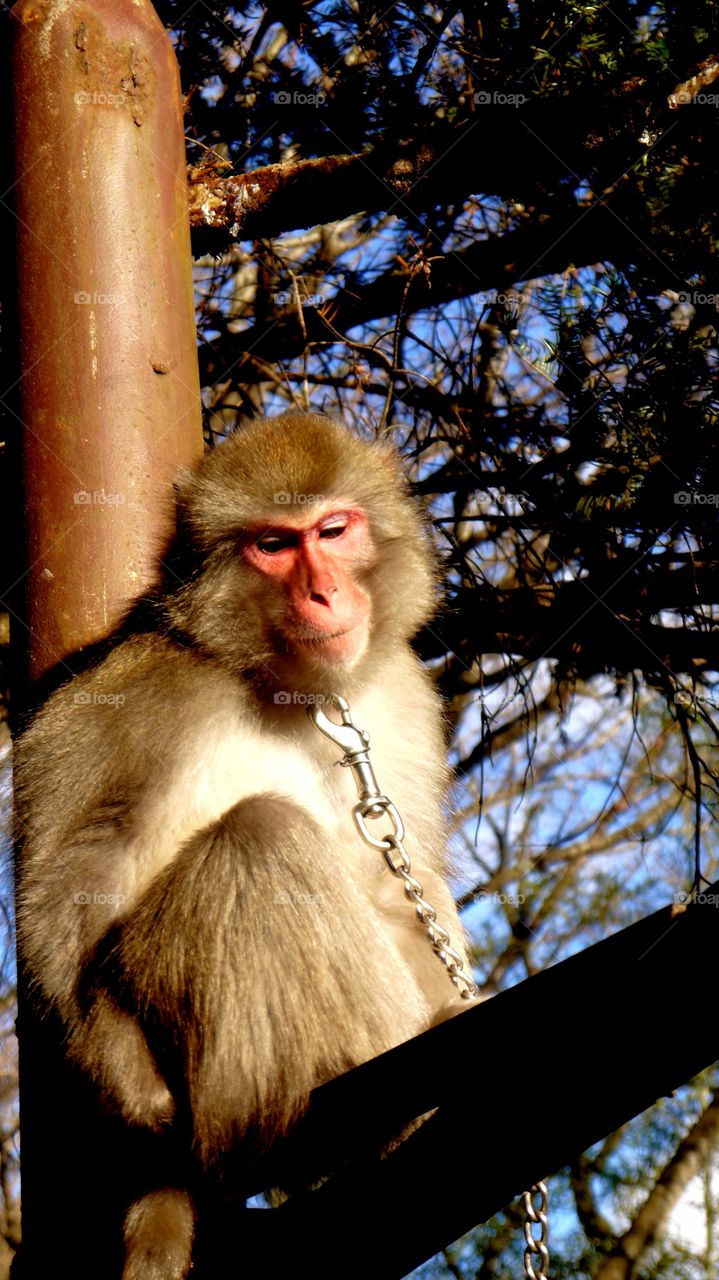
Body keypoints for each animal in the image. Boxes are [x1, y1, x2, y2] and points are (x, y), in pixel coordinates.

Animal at [13, 412, 473, 1280]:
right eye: (272, 545)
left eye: (333, 530)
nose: (323, 591)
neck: (290, 688)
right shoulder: (145, 680)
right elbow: (77, 862)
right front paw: (122, 1071)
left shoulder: (397, 690)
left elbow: (405, 880)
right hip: (197, 1052)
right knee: (261, 837)